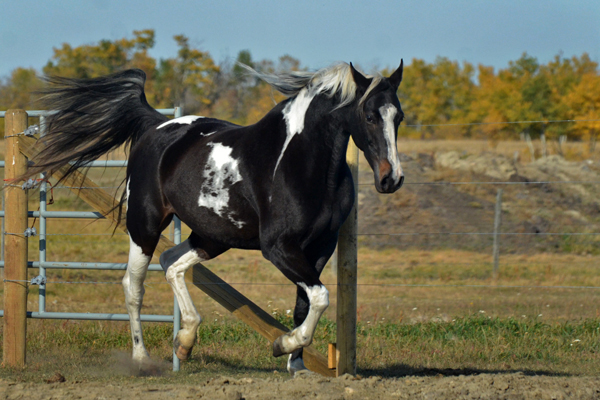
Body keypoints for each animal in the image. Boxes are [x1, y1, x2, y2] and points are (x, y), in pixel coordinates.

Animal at [25, 59, 406, 376]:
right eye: (369, 116)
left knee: (172, 263)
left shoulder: (320, 247)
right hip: (144, 225)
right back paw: (142, 359)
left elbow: (306, 303)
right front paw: (282, 345)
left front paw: (296, 365)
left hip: (212, 236)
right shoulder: (278, 248)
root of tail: (157, 125)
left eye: (398, 116)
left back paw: (185, 340)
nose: (392, 179)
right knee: (134, 286)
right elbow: (321, 297)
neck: (301, 163)